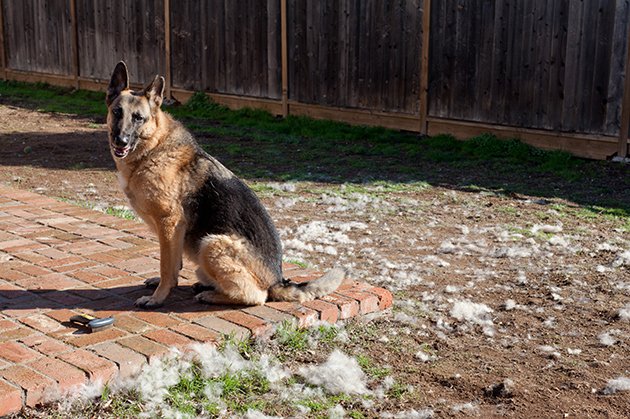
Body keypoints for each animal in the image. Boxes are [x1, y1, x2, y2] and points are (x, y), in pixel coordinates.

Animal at [107, 61, 346, 308]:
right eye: (117, 112)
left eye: (138, 118)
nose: (120, 141)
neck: (153, 147)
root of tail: (277, 281)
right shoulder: (172, 232)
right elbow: (174, 263)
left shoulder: (169, 222)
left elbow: (167, 266)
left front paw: (158, 297)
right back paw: (206, 286)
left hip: (212, 244)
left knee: (256, 296)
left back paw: (212, 295)